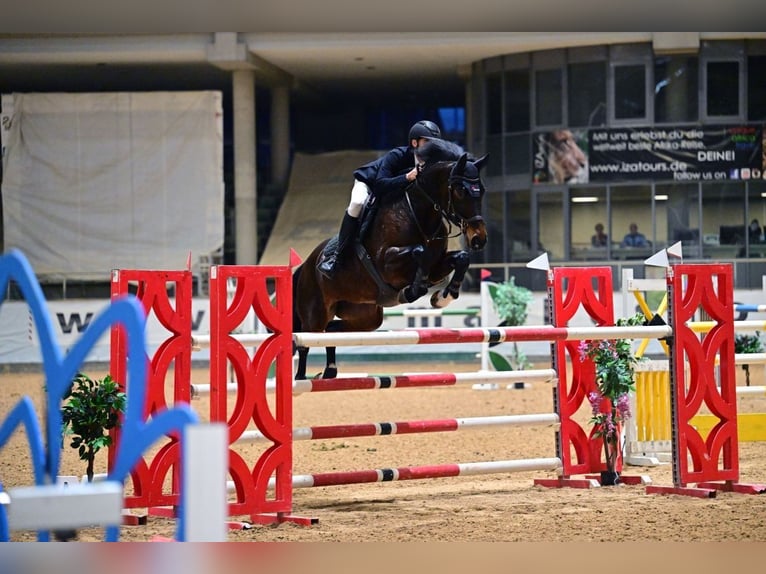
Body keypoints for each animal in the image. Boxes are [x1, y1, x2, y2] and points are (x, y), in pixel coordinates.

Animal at [292, 138, 488, 382]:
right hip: (315, 311)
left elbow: (460, 258)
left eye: (482, 191)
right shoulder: (387, 264)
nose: (479, 239)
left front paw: (443, 297)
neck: (419, 213)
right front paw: (412, 291)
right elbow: (418, 252)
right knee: (306, 341)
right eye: (461, 190)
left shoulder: (436, 267)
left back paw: (330, 371)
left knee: (332, 331)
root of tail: (305, 265)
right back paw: (301, 378)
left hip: (365, 315)